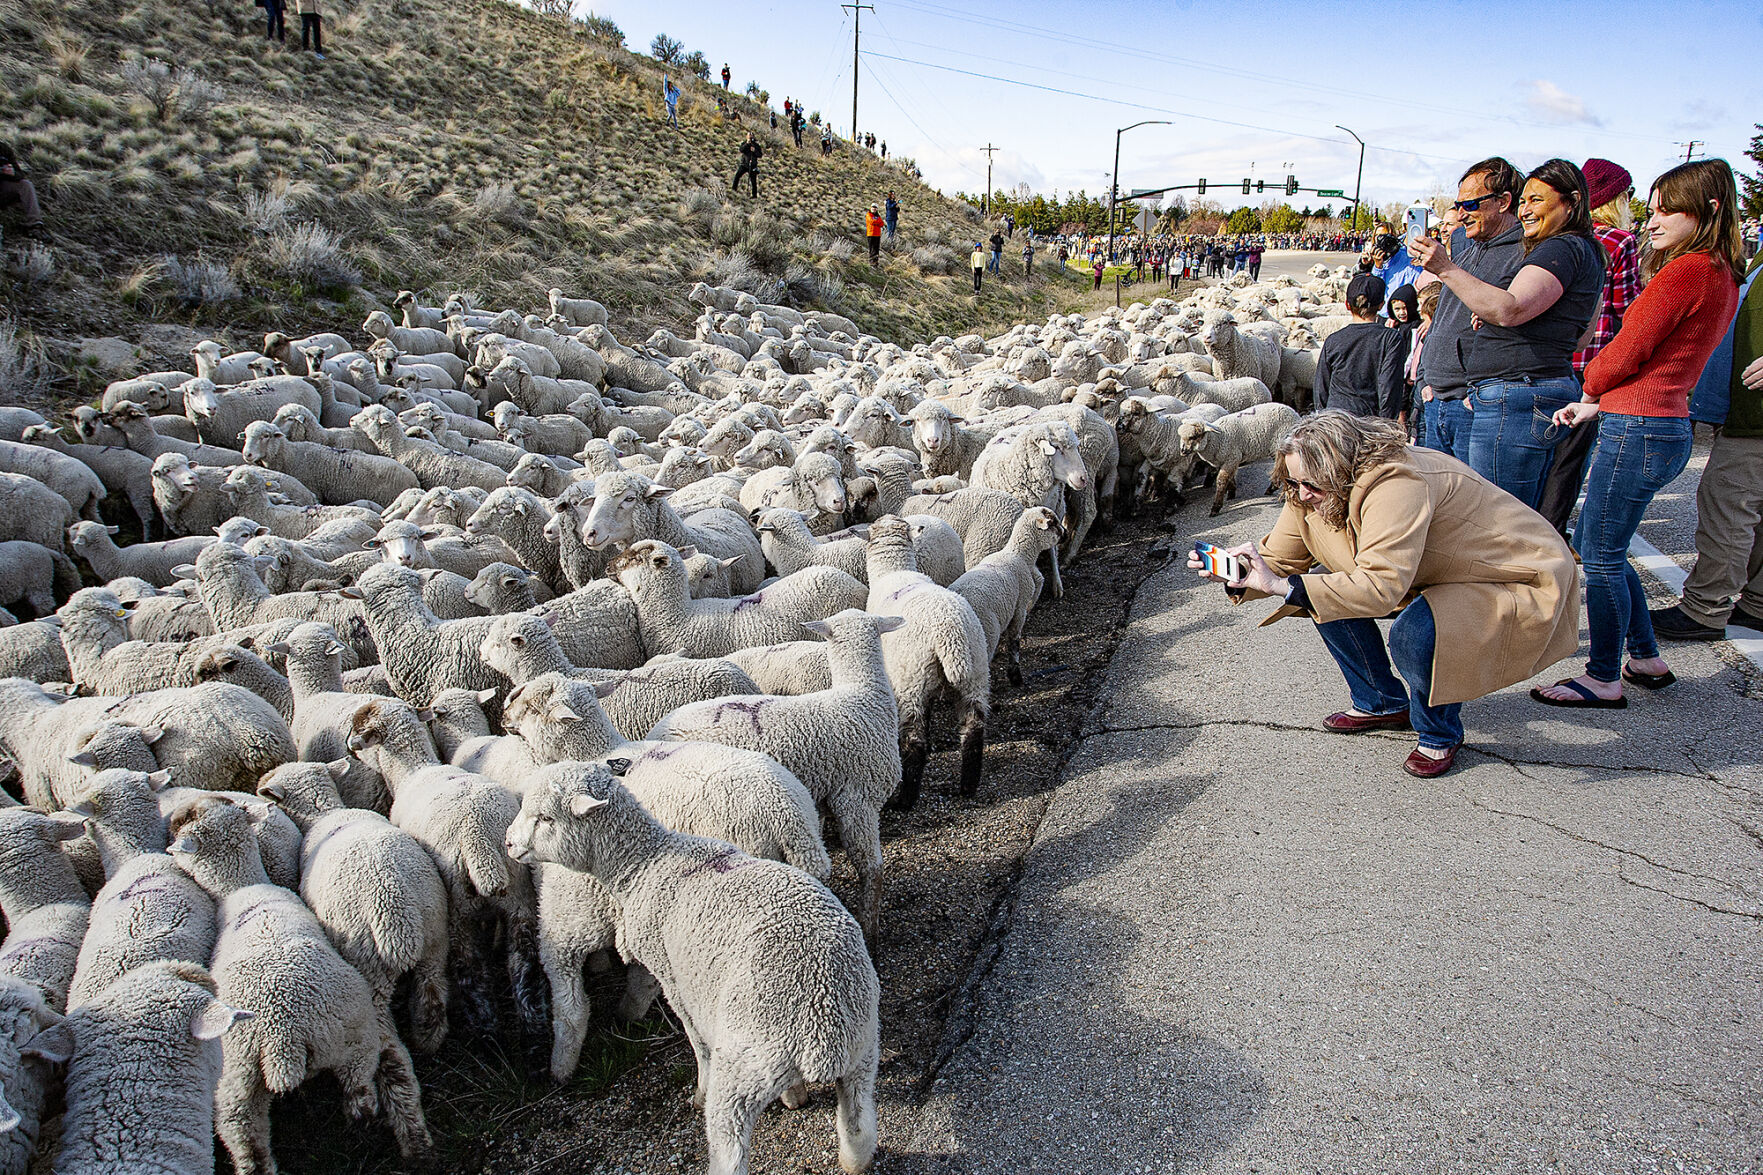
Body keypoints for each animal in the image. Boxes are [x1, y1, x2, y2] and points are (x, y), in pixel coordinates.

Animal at [256, 761, 451, 1054]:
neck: (324, 814)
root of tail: (398, 912)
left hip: (368, 961)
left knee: (382, 1026)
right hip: (435, 940)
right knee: (432, 996)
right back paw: (427, 1043)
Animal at [504, 762, 879, 1175]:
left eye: (545, 818)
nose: (507, 843)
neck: (643, 863)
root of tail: (823, 1037)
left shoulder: (673, 976)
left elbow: (695, 1035)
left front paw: (701, 1082)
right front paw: (794, 1096)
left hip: (747, 1064)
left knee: (730, 1143)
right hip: (863, 1051)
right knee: (859, 1126)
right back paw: (853, 1158)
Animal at [863, 516, 990, 809]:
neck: (893, 570)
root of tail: (950, 632)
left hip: (911, 680)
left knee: (915, 742)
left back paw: (905, 799)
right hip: (974, 674)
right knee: (974, 730)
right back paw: (968, 785)